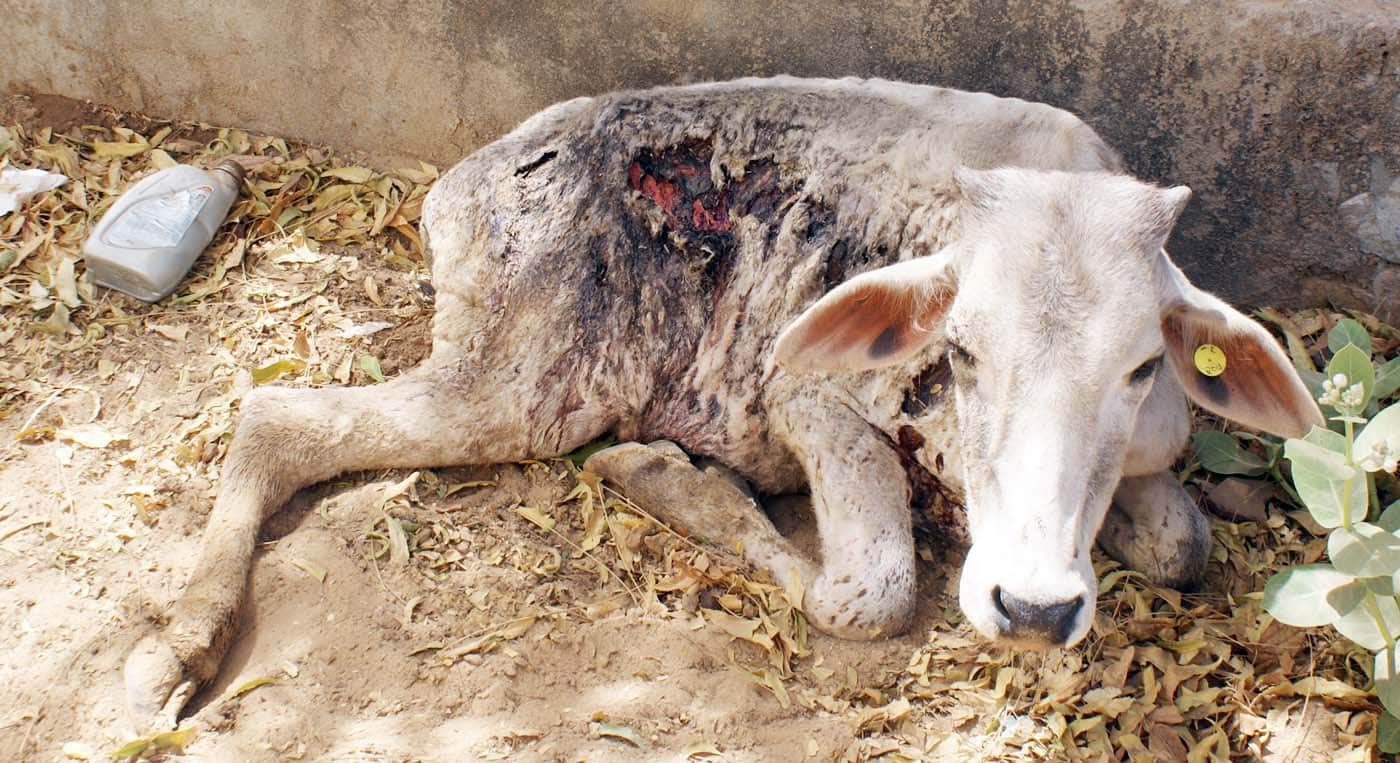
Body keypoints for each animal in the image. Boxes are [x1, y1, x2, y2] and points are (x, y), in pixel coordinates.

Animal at [123, 76, 1322, 727]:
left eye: (1142, 368)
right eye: (961, 350)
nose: (1030, 606)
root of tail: (466, 178)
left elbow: (1182, 547)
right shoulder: (810, 398)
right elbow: (869, 591)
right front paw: (676, 481)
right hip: (520, 383)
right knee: (279, 421)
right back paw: (175, 648)